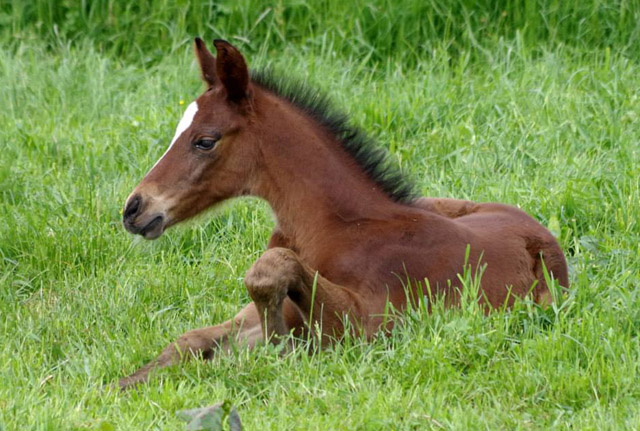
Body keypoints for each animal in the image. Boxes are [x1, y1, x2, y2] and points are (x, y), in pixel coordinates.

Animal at [120, 39, 568, 392]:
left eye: (205, 141)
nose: (133, 208)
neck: (332, 229)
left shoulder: (367, 327)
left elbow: (268, 271)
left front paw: (278, 349)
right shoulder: (241, 319)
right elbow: (187, 341)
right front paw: (117, 387)